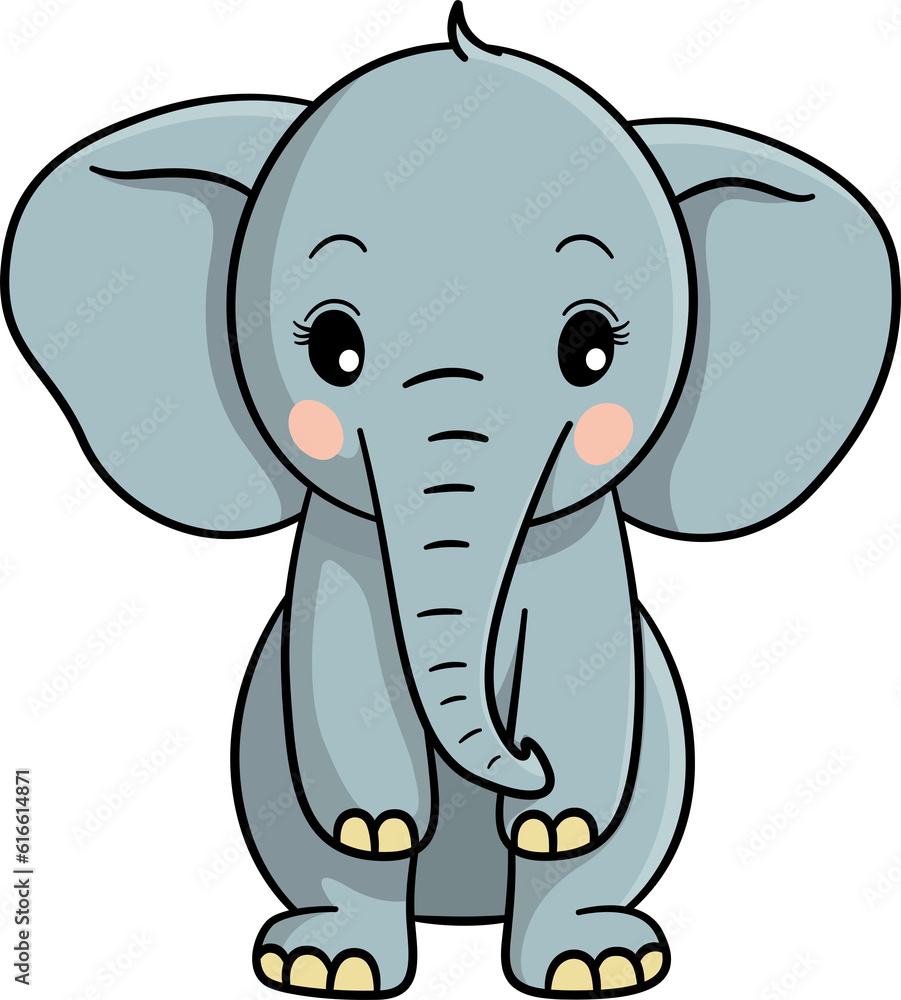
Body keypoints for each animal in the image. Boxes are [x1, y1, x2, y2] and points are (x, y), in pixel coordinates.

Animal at [3, 3, 898, 996]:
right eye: (334, 351)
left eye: (591, 350)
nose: (525, 762)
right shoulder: (339, 551)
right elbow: (338, 678)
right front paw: (380, 824)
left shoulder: (584, 552)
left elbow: (586, 677)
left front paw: (556, 818)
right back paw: (328, 963)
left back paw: (595, 962)